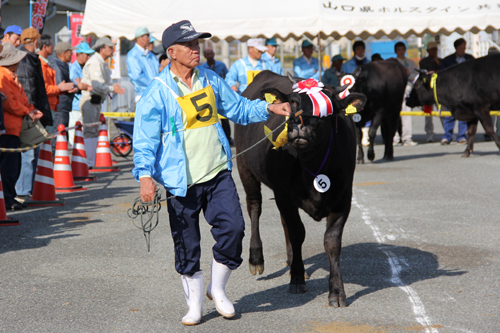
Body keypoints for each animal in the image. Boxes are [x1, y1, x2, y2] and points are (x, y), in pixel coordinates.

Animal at [234, 71, 368, 308]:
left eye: (325, 109)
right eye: (292, 103)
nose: (298, 123)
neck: (314, 164)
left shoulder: (343, 197)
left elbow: (332, 242)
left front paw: (336, 291)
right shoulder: (284, 195)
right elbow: (297, 233)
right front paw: (296, 279)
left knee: (282, 221)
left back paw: (290, 260)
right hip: (245, 169)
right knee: (254, 208)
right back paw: (256, 258)